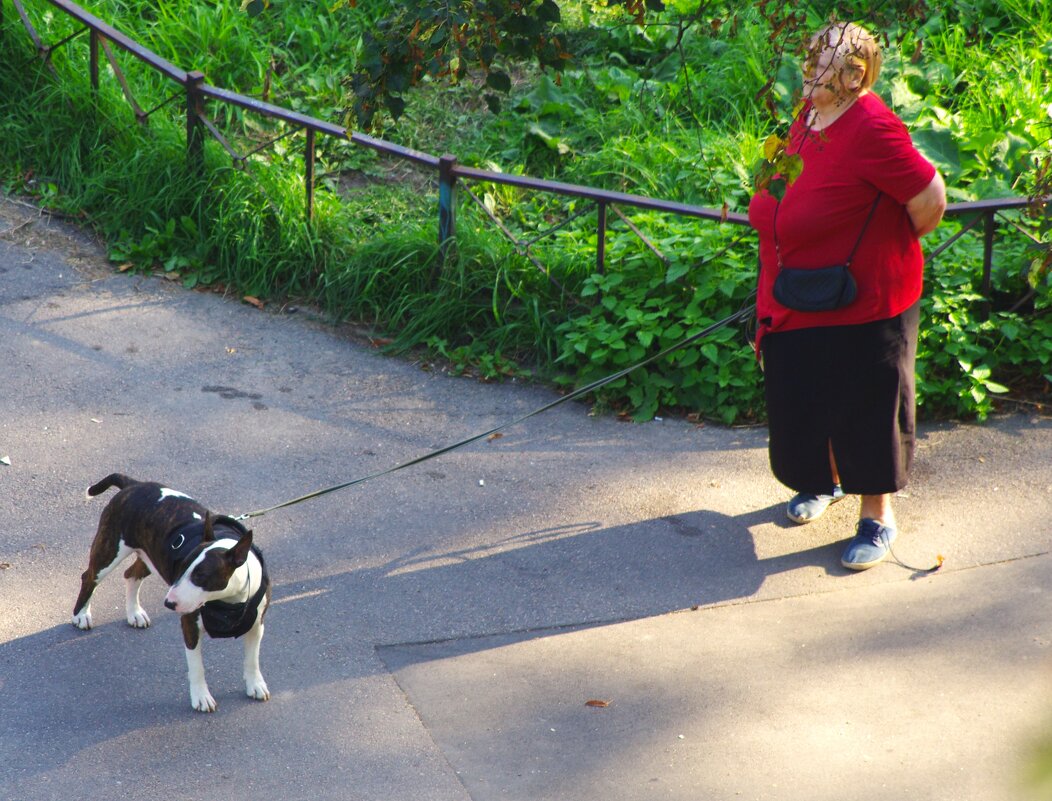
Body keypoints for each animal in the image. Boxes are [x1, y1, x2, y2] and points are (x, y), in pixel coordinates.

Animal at [73, 471, 271, 707]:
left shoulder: (256, 625)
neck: (230, 599)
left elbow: (252, 659)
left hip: (151, 556)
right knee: (89, 577)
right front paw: (201, 697)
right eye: (182, 566)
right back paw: (81, 615)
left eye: (200, 576)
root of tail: (134, 484)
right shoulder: (190, 626)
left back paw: (135, 613)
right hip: (110, 549)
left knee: (131, 574)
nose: (168, 603)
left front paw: (256, 685)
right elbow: (197, 667)